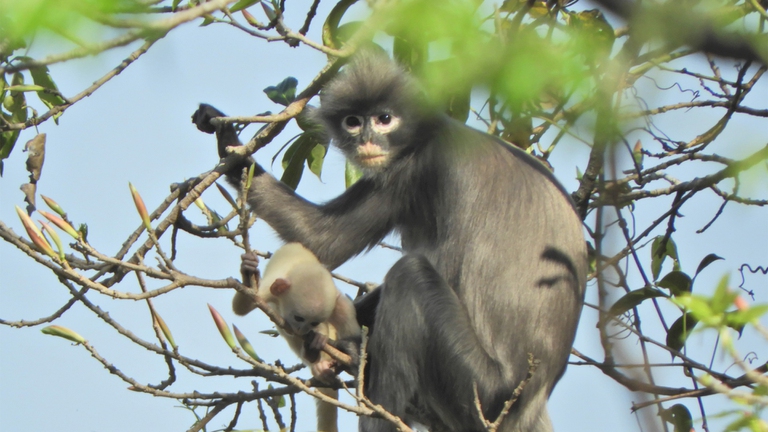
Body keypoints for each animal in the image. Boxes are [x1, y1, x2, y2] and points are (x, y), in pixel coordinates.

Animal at [190, 51, 584, 432]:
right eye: (353, 121)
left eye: (384, 119)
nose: (367, 140)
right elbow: (321, 238)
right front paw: (225, 138)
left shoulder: (426, 167)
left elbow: (328, 242)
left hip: (480, 390)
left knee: (411, 274)